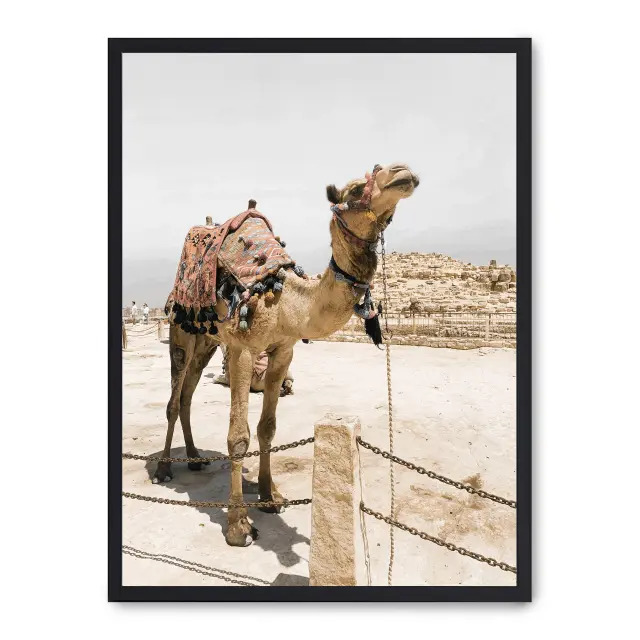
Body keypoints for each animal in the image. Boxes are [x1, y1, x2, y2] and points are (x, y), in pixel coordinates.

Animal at [155, 163, 419, 546]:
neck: (284, 300)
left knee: (188, 392)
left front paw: (269, 497)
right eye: (355, 190)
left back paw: (193, 458)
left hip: (207, 341)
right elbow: (238, 436)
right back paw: (163, 469)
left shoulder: (283, 351)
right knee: (175, 398)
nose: (403, 173)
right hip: (181, 329)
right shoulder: (242, 349)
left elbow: (268, 428)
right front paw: (238, 525)